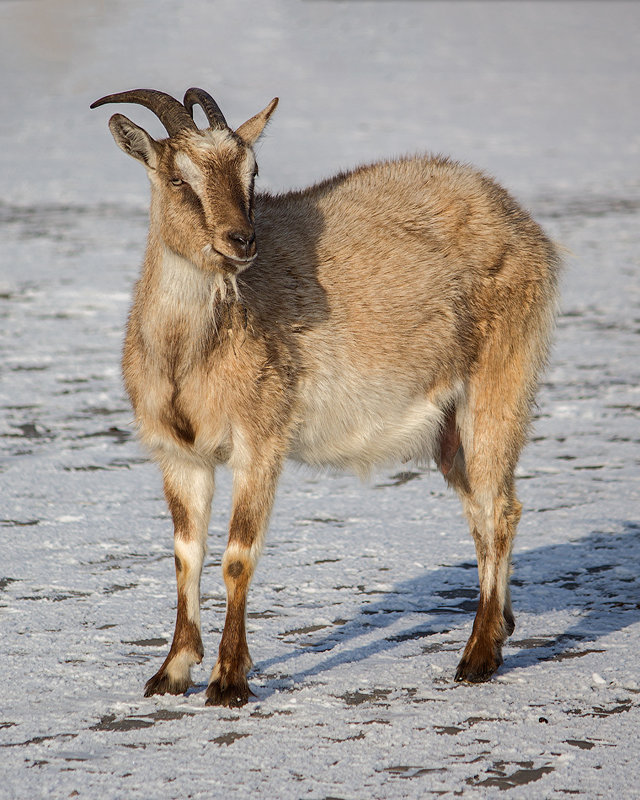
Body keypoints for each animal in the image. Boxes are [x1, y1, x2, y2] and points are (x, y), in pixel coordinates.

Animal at [90, 87, 560, 708]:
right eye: (176, 178)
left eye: (253, 172)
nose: (241, 241)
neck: (190, 353)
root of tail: (521, 224)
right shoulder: (179, 453)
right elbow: (184, 554)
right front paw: (170, 672)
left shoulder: (260, 439)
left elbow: (237, 557)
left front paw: (228, 681)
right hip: (449, 429)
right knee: (482, 509)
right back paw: (501, 627)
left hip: (500, 379)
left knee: (500, 507)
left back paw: (478, 656)